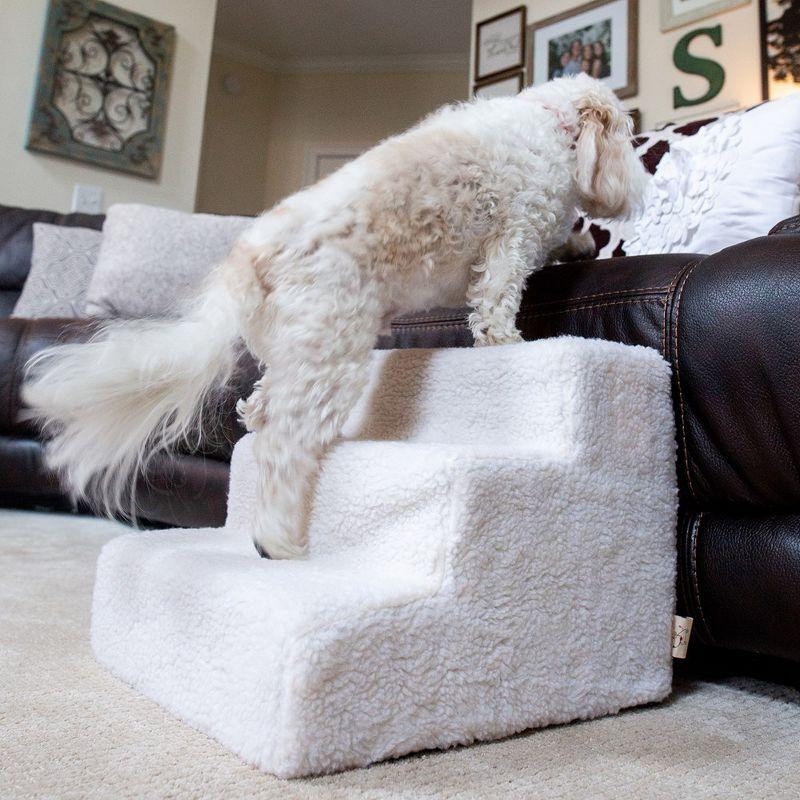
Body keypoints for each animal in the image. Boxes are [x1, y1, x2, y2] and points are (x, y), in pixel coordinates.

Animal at [21, 76, 648, 564]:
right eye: (625, 131)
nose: (638, 185)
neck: (547, 124)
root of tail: (248, 258)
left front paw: (578, 244)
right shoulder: (511, 239)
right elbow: (497, 300)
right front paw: (507, 340)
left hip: (297, 346)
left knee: (261, 405)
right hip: (333, 347)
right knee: (284, 447)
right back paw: (278, 541)